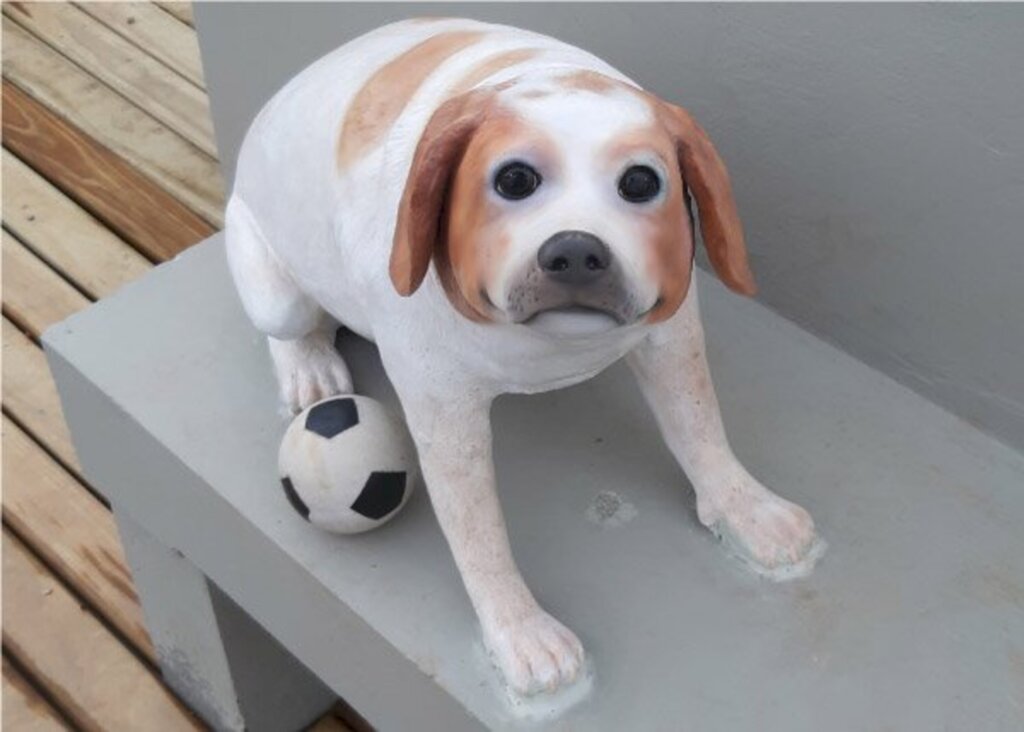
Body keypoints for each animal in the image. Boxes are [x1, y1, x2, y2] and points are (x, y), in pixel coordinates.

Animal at [228, 18, 819, 700]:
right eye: (514, 180)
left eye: (641, 182)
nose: (577, 250)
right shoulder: (442, 410)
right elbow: (477, 530)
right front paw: (523, 637)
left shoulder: (672, 332)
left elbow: (699, 424)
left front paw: (752, 513)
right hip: (272, 288)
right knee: (290, 324)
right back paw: (310, 370)